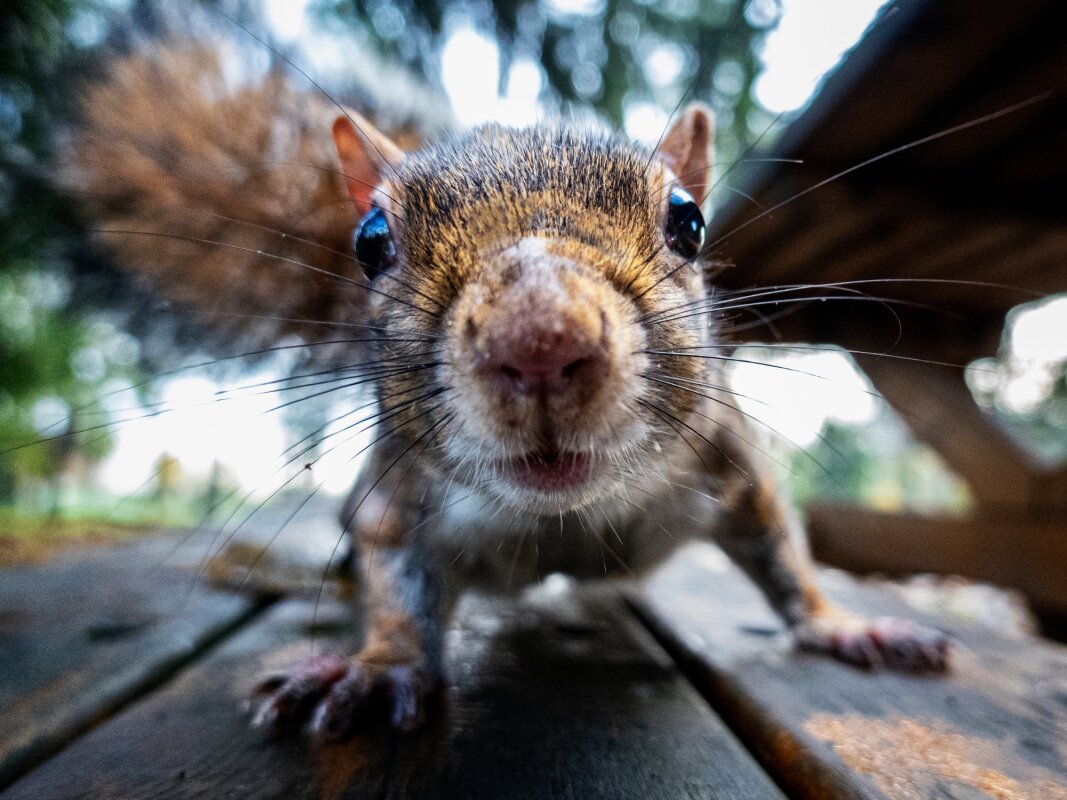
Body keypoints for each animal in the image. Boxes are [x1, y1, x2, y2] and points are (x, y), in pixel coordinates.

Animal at [60, 35, 951, 737]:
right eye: (370, 241)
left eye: (689, 222)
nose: (539, 344)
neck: (565, 516)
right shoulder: (395, 496)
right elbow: (394, 578)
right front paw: (378, 666)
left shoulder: (726, 458)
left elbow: (781, 555)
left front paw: (843, 626)